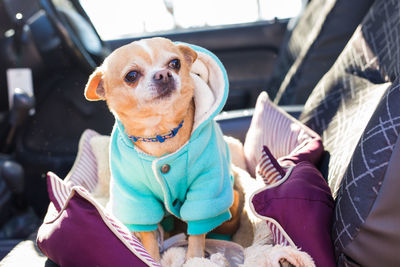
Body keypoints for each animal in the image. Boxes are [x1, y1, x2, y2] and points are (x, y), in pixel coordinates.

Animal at [84, 37, 234, 264]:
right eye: (131, 76)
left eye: (175, 63)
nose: (163, 74)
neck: (160, 132)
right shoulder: (137, 197)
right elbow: (148, 235)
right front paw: (151, 258)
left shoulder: (206, 187)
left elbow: (197, 231)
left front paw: (194, 259)